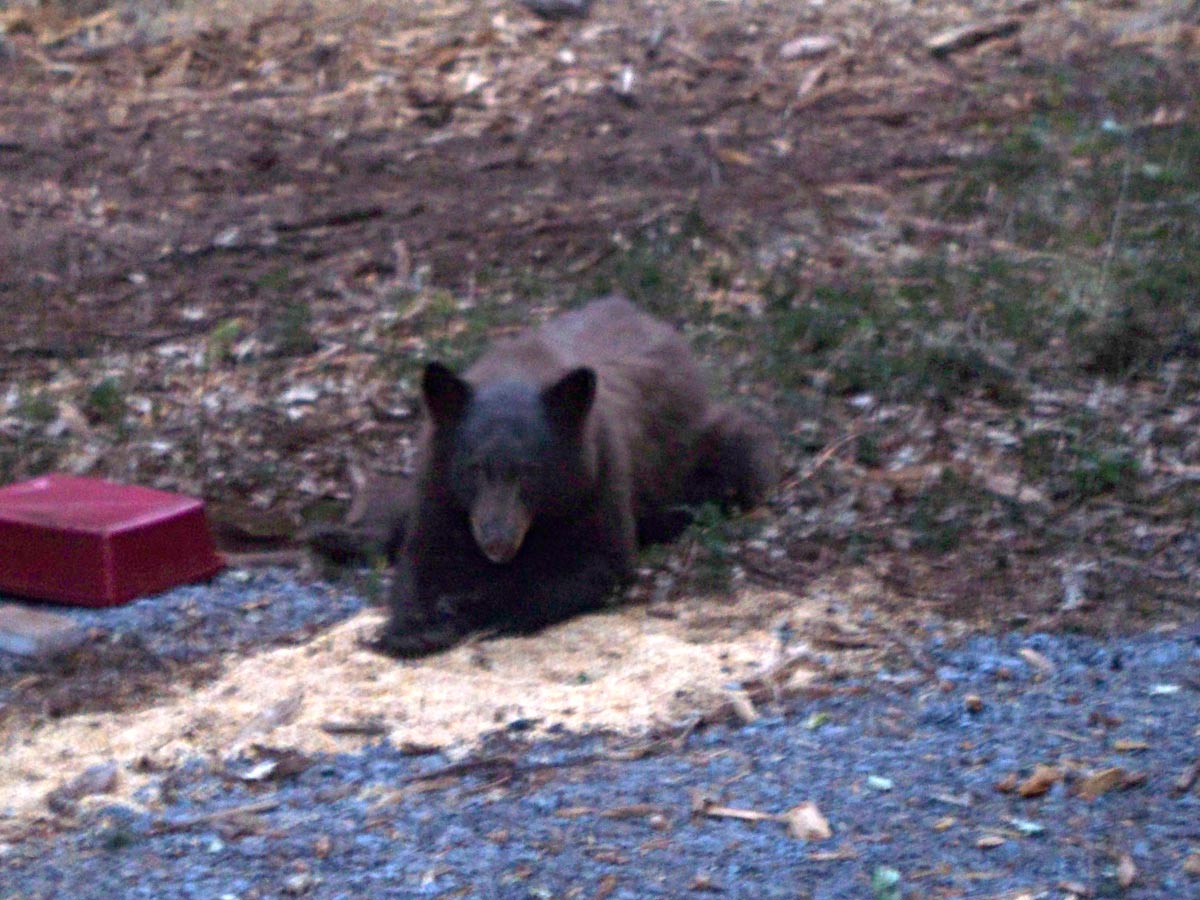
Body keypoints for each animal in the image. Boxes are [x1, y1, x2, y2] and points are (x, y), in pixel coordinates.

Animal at [347, 296, 777, 657]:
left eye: (530, 471)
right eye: (474, 467)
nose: (497, 541)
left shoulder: (598, 480)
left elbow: (585, 569)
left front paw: (466, 609)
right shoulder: (440, 489)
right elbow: (420, 561)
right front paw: (409, 629)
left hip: (707, 449)